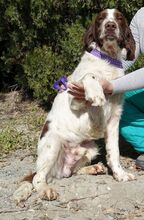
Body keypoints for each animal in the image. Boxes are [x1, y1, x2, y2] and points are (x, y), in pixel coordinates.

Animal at [13, 8, 135, 205]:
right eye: (101, 18)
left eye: (119, 19)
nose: (110, 25)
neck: (107, 59)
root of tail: (60, 169)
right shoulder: (76, 100)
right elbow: (89, 76)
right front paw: (96, 92)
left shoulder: (114, 120)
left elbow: (114, 152)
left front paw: (120, 174)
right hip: (53, 142)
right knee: (38, 177)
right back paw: (46, 190)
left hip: (91, 147)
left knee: (71, 173)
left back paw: (93, 169)